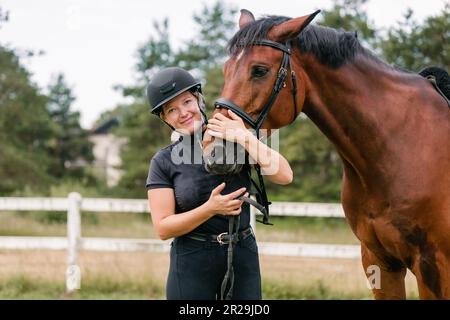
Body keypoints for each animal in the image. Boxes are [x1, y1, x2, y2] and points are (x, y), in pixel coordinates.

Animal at [203, 10, 450, 300]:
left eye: (259, 70)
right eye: (226, 70)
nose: (213, 151)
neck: (399, 148)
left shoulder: (433, 268)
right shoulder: (379, 261)